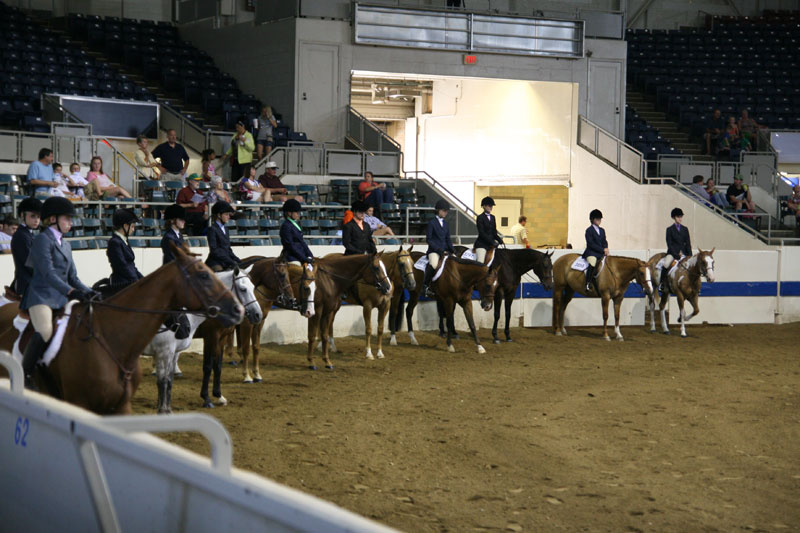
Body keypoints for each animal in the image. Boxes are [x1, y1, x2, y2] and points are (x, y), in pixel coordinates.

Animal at [7, 243, 242, 414]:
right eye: (203, 276)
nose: (239, 310)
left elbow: (171, 379)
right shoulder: (169, 350)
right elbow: (167, 380)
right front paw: (171, 408)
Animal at [143, 268, 266, 414]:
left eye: (253, 288)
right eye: (243, 289)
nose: (258, 315)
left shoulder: (221, 339)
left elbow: (217, 366)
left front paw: (219, 396)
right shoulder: (210, 337)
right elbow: (207, 367)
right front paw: (206, 399)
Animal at [233, 256, 310, 384]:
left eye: (289, 275)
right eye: (282, 275)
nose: (291, 299)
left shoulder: (259, 322)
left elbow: (256, 347)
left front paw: (257, 374)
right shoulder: (247, 324)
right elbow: (246, 348)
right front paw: (246, 376)